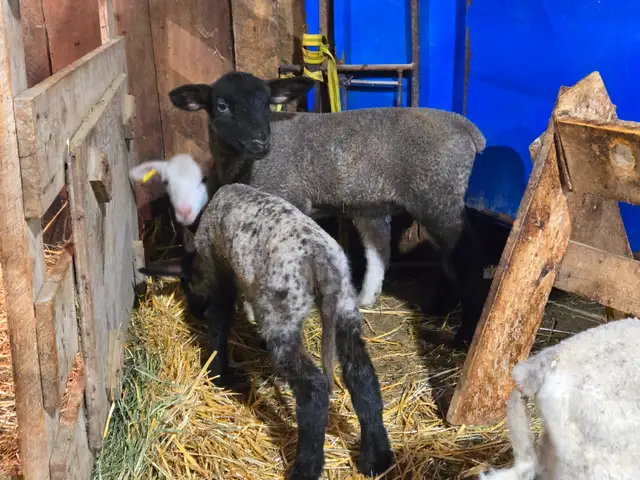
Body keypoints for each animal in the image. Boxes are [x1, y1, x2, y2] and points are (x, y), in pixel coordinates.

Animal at [139, 181, 393, 480]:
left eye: (187, 283)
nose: (194, 311)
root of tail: (319, 263)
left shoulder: (218, 272)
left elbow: (219, 323)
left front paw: (218, 375)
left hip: (282, 312)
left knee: (314, 388)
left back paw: (305, 468)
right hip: (344, 304)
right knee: (361, 372)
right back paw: (376, 459)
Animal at [159, 71, 488, 346]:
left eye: (265, 103)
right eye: (222, 105)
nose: (260, 142)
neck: (244, 164)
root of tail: (466, 128)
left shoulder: (285, 198)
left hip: (437, 194)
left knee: (465, 254)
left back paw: (464, 333)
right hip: (376, 203)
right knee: (384, 250)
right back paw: (380, 300)